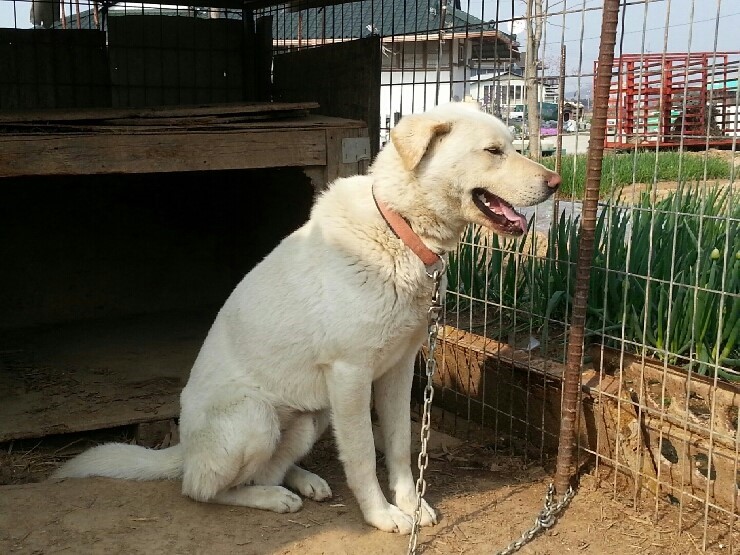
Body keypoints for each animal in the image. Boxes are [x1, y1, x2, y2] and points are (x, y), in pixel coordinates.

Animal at [53, 102, 560, 534]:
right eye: (493, 151)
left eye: (513, 145)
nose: (556, 183)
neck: (400, 230)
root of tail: (186, 450)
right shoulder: (351, 375)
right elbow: (362, 455)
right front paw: (382, 516)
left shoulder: (398, 370)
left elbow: (400, 446)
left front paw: (411, 505)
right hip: (256, 417)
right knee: (201, 488)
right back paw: (269, 498)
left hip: (310, 418)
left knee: (264, 470)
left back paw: (301, 482)